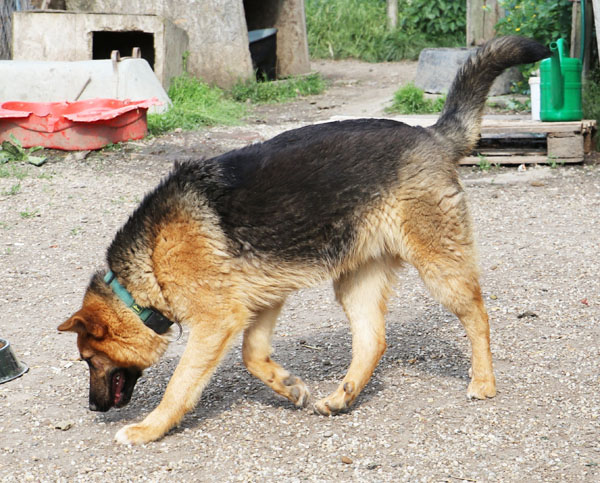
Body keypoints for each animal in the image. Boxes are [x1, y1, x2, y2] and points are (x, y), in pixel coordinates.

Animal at [59, 36, 548, 446]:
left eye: (89, 360)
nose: (93, 408)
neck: (149, 261)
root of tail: (430, 135)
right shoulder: (260, 302)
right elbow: (253, 355)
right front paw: (289, 387)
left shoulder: (216, 323)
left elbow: (180, 385)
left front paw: (150, 428)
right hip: (356, 282)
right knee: (373, 340)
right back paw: (343, 395)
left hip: (439, 267)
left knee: (478, 315)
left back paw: (483, 382)